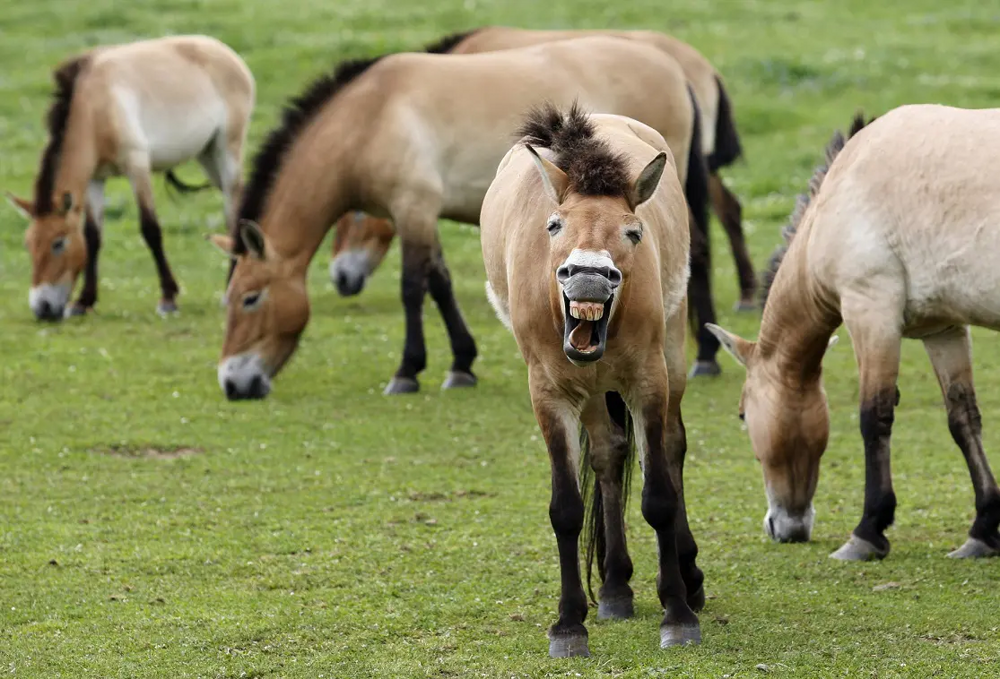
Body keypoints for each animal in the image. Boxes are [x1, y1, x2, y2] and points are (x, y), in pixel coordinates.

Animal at [6, 33, 254, 318]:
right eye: (28, 244)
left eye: (58, 243)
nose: (42, 308)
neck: (94, 107)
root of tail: (225, 51)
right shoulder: (95, 180)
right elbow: (93, 236)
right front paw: (83, 302)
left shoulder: (137, 167)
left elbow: (150, 229)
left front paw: (168, 298)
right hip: (207, 157)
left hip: (227, 152)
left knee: (233, 212)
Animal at [211, 35, 704, 398]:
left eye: (250, 299)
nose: (233, 383)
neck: (370, 118)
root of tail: (676, 70)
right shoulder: (421, 216)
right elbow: (440, 282)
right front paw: (461, 364)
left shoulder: (413, 209)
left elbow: (413, 287)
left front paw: (407, 372)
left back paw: (705, 360)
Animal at [482, 106, 704, 660]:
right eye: (554, 224)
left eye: (632, 232)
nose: (587, 276)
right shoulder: (551, 394)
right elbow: (566, 508)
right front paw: (568, 625)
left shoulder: (648, 382)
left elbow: (659, 496)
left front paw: (678, 615)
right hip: (589, 394)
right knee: (608, 454)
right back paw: (616, 587)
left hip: (671, 358)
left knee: (670, 449)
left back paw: (687, 578)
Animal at [708, 107, 1000, 564]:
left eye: (741, 414)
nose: (785, 529)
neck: (839, 194)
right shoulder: (944, 329)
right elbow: (963, 418)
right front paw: (982, 531)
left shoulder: (871, 311)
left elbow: (873, 416)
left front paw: (867, 532)